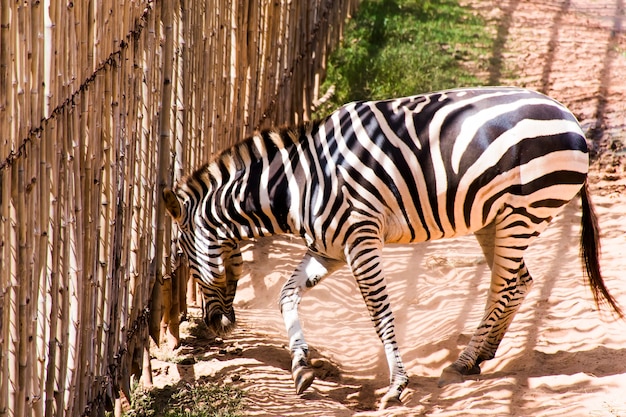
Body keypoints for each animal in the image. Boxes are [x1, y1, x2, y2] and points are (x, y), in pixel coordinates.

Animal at [163, 86, 620, 408]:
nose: (216, 326)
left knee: (505, 284)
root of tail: (568, 115)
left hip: (522, 212)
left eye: (183, 259)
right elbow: (286, 295)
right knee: (518, 281)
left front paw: (398, 384)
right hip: (495, 219)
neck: (297, 186)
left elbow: (378, 311)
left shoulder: (360, 239)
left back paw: (469, 357)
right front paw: (300, 367)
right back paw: (481, 354)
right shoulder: (328, 249)